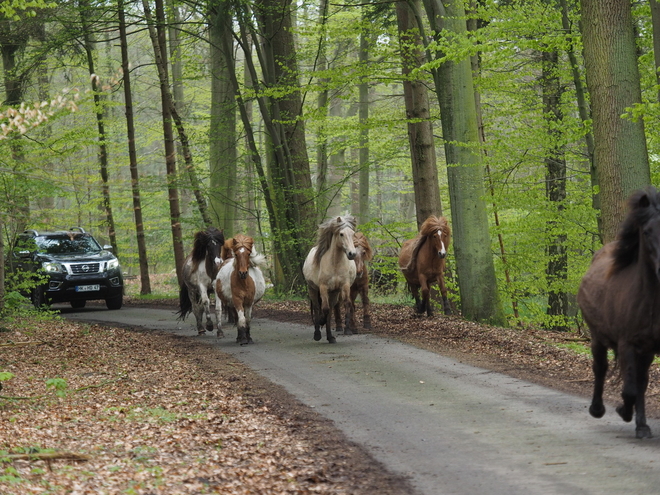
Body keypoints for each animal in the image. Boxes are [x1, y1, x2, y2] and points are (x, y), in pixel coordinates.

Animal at [576, 188, 660, 440]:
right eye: (647, 231)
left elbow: (638, 385)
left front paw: (639, 423)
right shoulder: (627, 344)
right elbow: (629, 390)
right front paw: (623, 410)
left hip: (646, 350)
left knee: (641, 380)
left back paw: (641, 425)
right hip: (597, 338)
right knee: (601, 368)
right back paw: (597, 409)